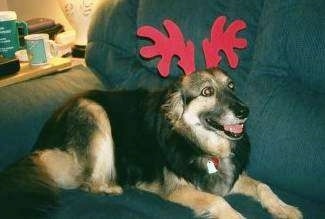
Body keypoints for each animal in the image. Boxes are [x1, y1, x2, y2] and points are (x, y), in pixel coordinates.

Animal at [0, 67, 302, 218]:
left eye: (231, 87)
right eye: (207, 91)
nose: (244, 111)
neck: (201, 142)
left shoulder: (226, 177)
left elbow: (263, 186)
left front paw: (285, 208)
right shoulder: (177, 189)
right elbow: (219, 202)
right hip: (94, 112)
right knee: (80, 179)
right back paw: (111, 187)